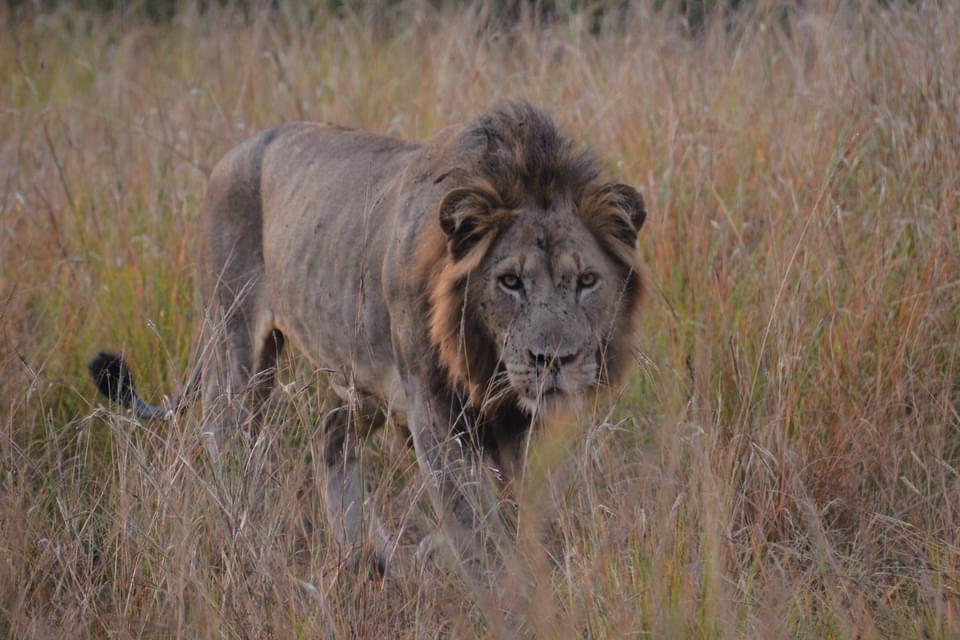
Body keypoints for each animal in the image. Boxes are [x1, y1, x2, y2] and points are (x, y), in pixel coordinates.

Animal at [89, 102, 646, 594]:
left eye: (587, 281)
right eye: (510, 281)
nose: (554, 361)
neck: (483, 362)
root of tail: (231, 155)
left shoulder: (523, 425)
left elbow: (530, 518)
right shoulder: (434, 416)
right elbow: (481, 532)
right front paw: (509, 599)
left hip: (359, 381)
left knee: (331, 441)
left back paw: (365, 555)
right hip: (236, 352)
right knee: (230, 454)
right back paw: (260, 555)